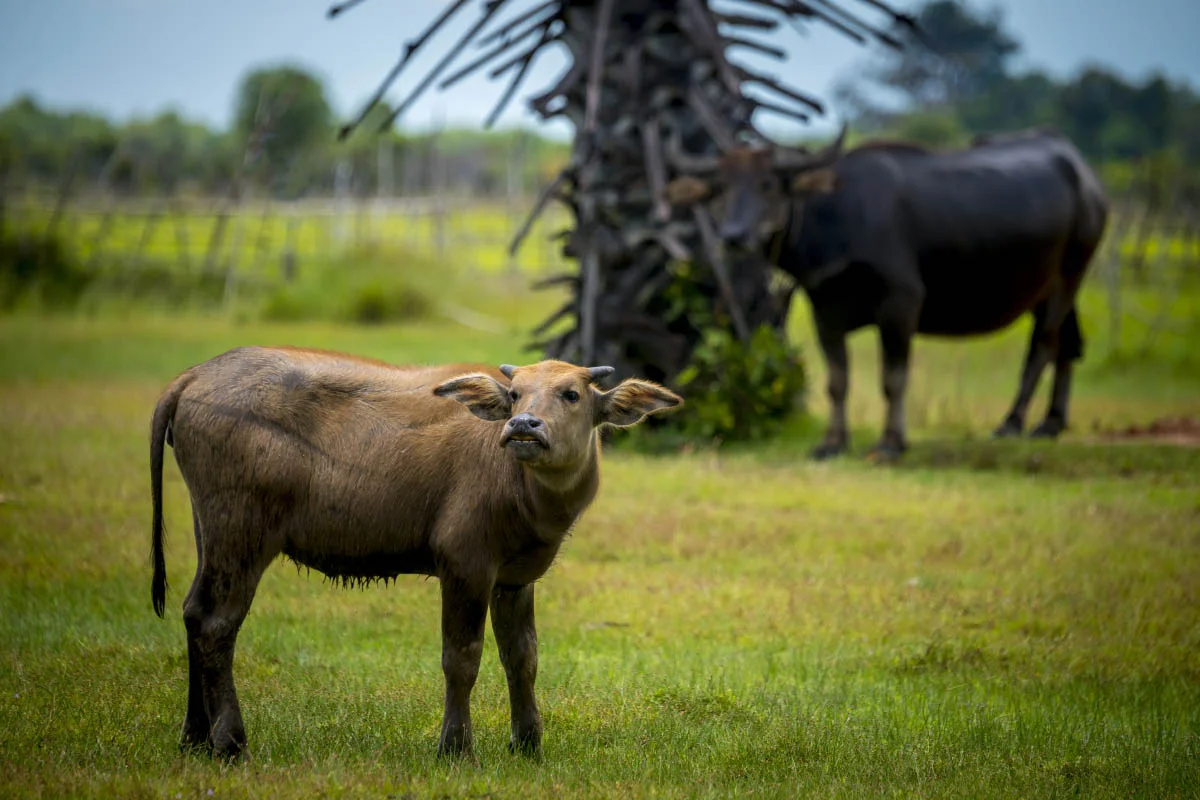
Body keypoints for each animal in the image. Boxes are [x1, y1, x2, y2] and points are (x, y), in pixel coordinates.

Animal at [150, 348, 681, 759]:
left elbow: (522, 657)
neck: (518, 486)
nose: (523, 425)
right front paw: (456, 747)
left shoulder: (514, 579)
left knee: (193, 613)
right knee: (218, 624)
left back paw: (194, 737)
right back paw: (230, 742)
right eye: (515, 394)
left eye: (571, 394)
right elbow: (462, 658)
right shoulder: (465, 565)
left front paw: (528, 744)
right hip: (242, 532)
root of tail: (192, 377)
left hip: (208, 529)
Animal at [666, 128, 1108, 459]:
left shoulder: (902, 302)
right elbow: (837, 381)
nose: (734, 236)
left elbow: (893, 377)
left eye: (769, 185)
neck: (837, 217)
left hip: (1071, 274)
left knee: (1044, 346)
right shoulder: (824, 310)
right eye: (719, 189)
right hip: (1050, 287)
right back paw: (1050, 423)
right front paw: (832, 442)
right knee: (1067, 345)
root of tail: (1085, 176)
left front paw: (891, 442)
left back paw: (1012, 422)